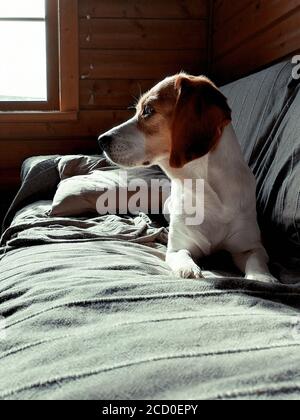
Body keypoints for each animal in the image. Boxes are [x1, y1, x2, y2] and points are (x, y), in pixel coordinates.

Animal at [98, 74, 276, 286]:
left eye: (148, 110)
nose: (101, 140)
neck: (203, 188)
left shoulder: (250, 245)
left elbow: (256, 260)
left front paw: (263, 277)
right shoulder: (177, 248)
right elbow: (181, 255)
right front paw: (188, 269)